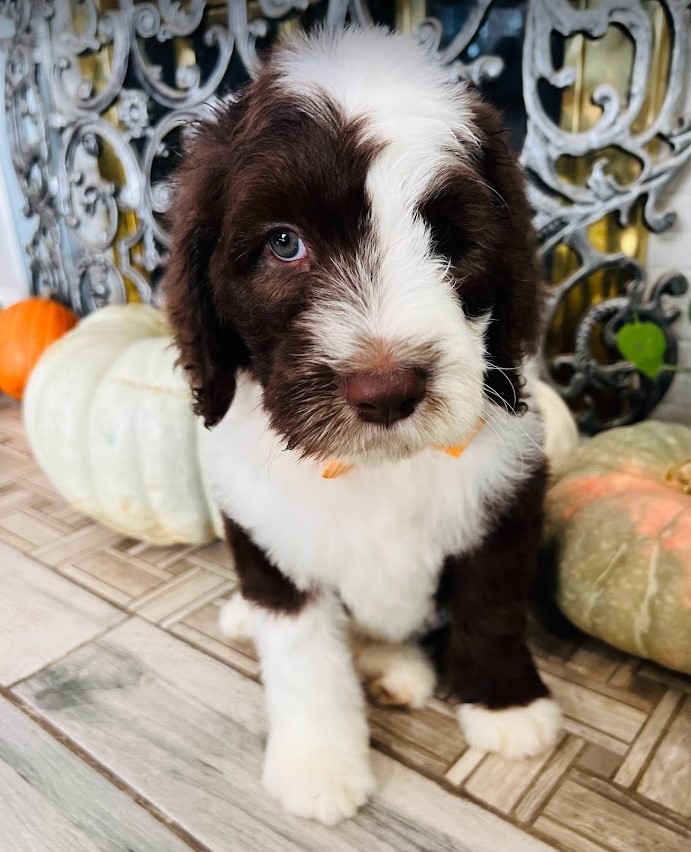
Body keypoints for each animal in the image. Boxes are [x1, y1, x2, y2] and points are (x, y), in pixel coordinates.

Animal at [164, 25, 564, 824]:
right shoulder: (266, 532)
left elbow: (493, 603)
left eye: (449, 242)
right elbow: (303, 656)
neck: (375, 469)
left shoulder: (506, 495)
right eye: (284, 243)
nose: (385, 391)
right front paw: (319, 763)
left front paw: (506, 707)